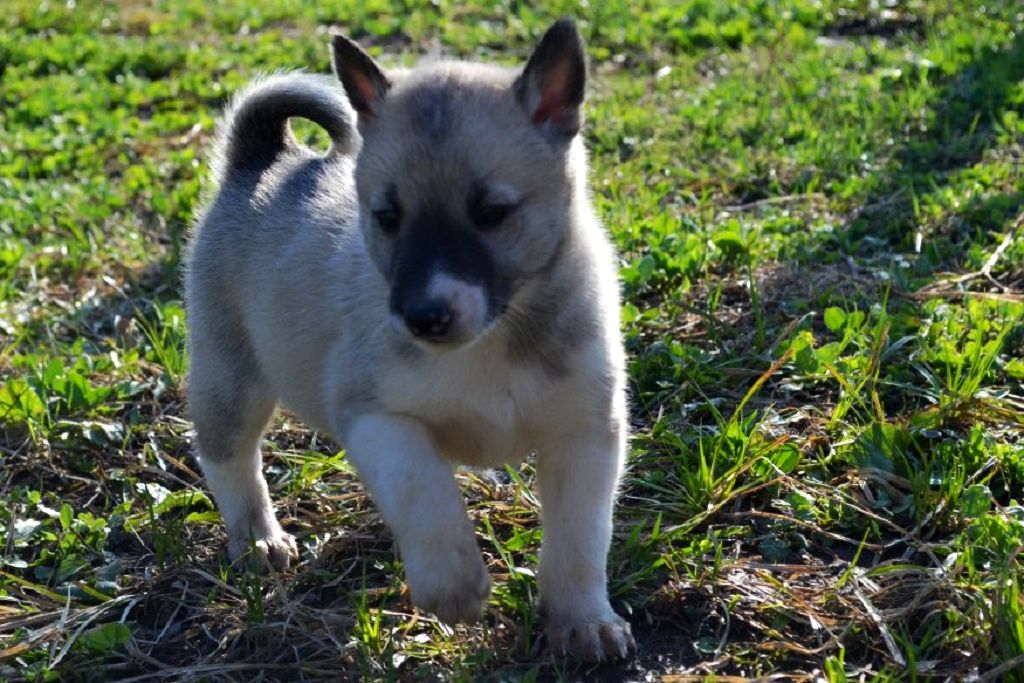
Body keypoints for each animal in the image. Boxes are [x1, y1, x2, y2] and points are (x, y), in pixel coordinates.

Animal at [185, 20, 630, 663]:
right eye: (387, 217)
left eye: (493, 213)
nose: (423, 318)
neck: (491, 343)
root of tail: (267, 161)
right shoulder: (377, 419)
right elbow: (426, 494)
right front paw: (454, 587)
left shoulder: (587, 436)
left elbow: (579, 541)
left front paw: (583, 622)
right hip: (230, 379)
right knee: (229, 459)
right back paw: (259, 538)